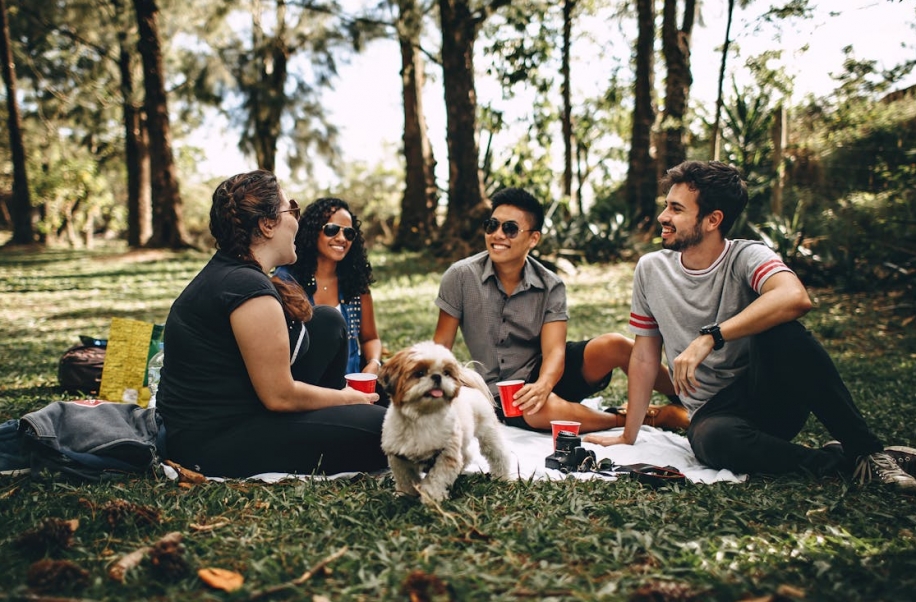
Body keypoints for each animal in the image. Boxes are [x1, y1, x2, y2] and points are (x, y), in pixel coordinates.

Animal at [376, 340, 512, 500]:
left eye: (446, 373)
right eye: (419, 373)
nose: (437, 376)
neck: (422, 417)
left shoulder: (446, 454)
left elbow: (436, 479)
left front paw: (431, 498)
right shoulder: (399, 458)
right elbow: (405, 479)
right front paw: (405, 495)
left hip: (488, 433)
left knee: (499, 454)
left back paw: (502, 477)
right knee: (466, 456)